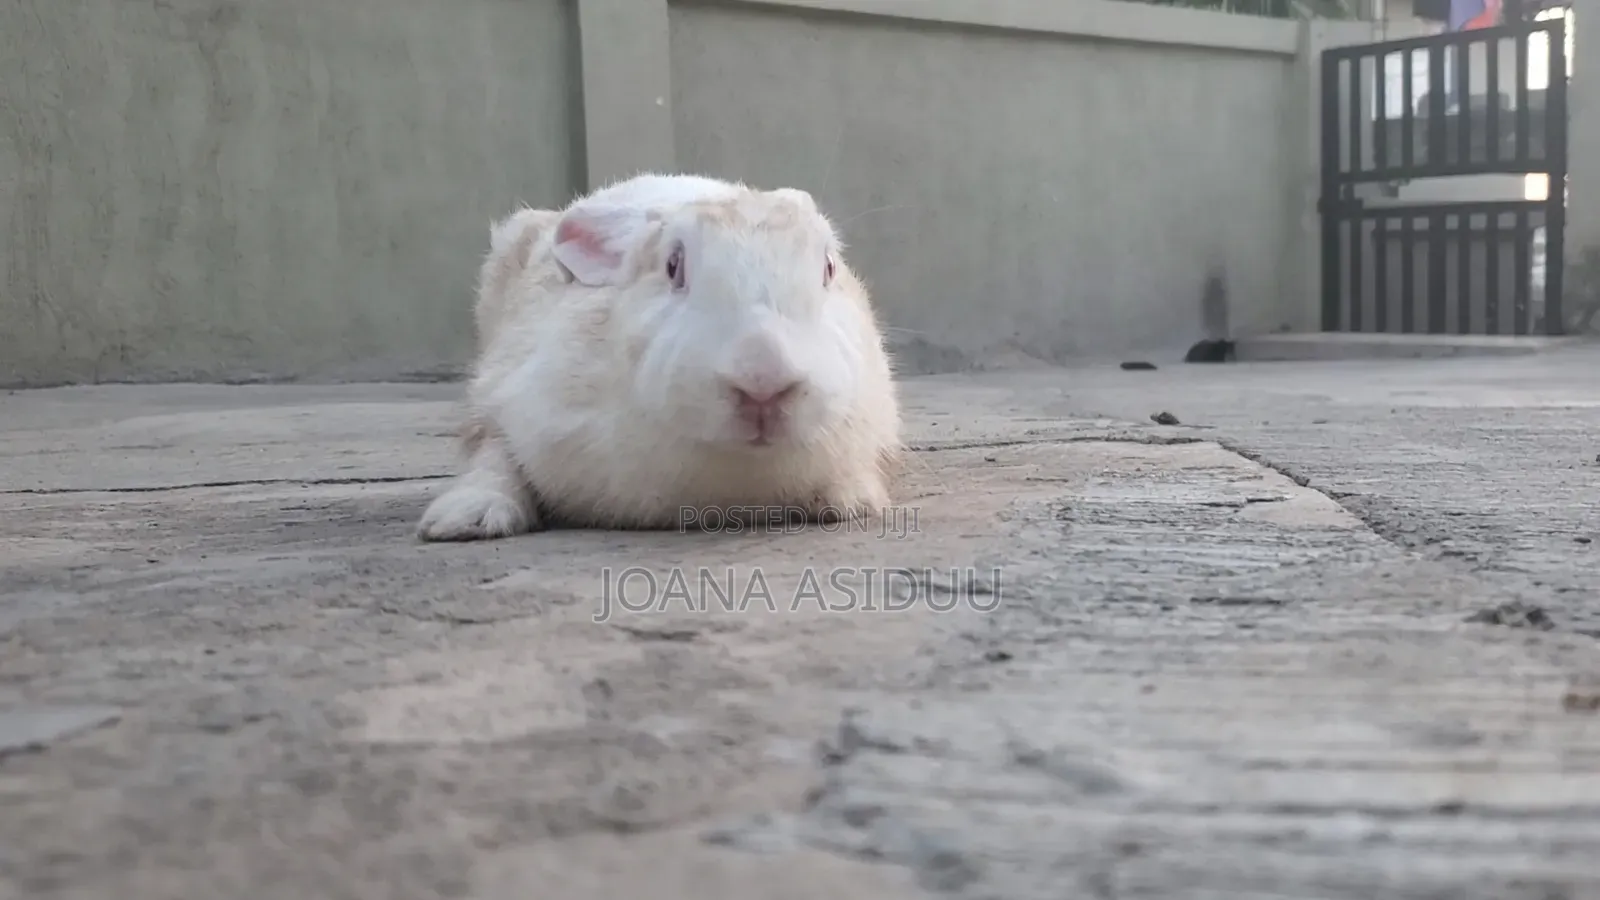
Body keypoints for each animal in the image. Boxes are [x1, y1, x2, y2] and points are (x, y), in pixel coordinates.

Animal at [416, 172, 903, 541]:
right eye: (673, 267)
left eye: (828, 268)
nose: (763, 382)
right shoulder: (504, 397)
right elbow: (493, 454)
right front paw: (465, 518)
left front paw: (853, 500)